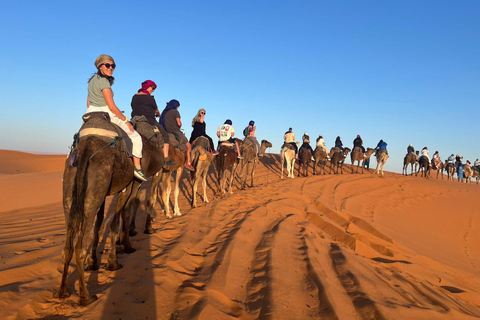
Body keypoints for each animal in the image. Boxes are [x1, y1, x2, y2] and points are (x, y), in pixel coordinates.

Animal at [57, 135, 139, 304]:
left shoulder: (104, 195)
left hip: (70, 188)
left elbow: (99, 225)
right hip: (96, 187)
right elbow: (118, 220)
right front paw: (115, 261)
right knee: (80, 247)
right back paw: (85, 296)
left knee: (68, 246)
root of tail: (85, 151)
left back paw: (63, 292)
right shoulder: (127, 187)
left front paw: (94, 262)